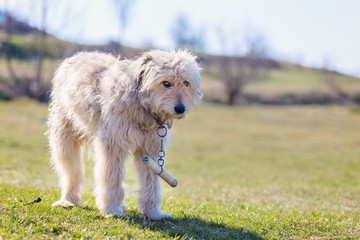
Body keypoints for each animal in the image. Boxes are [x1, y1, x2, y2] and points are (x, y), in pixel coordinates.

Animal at [46, 49, 201, 220]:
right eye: (166, 83)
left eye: (186, 83)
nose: (180, 108)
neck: (141, 104)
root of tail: (80, 54)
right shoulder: (113, 146)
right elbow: (112, 178)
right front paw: (112, 209)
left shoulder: (150, 151)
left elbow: (151, 182)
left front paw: (153, 213)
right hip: (65, 138)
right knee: (71, 171)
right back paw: (68, 200)